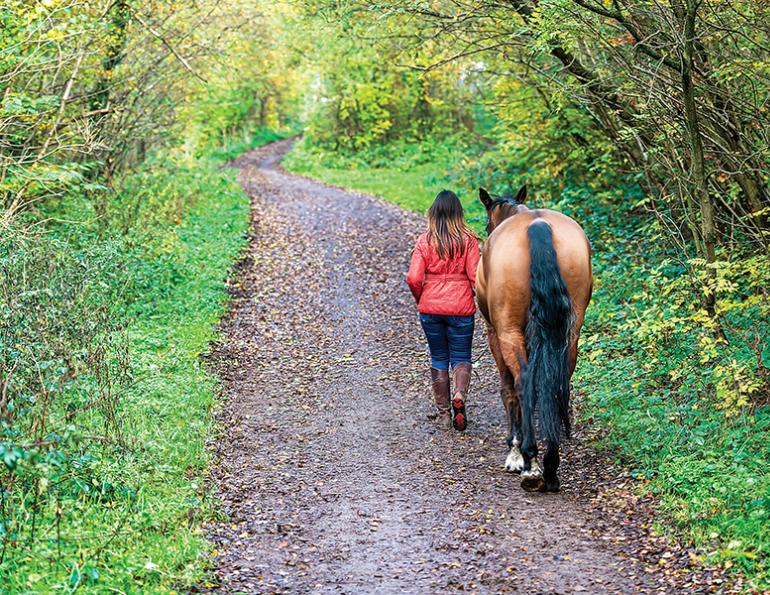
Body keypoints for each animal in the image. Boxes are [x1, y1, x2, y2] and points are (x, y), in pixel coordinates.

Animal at [475, 185, 593, 492]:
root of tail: (537, 226)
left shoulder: (494, 333)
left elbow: (508, 388)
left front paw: (515, 454)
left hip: (508, 332)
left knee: (523, 380)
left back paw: (531, 463)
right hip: (570, 333)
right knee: (558, 381)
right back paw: (550, 466)